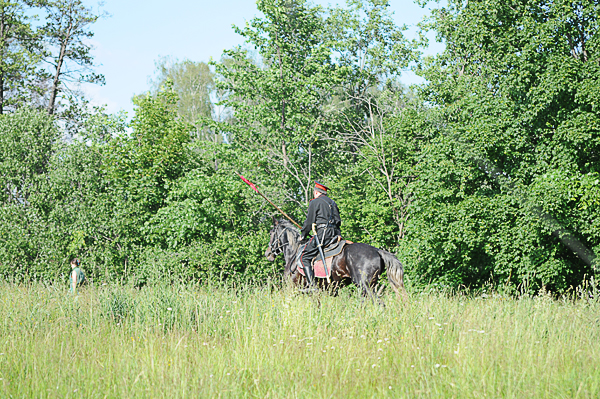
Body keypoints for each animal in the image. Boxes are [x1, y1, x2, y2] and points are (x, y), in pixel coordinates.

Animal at [266, 219, 408, 300]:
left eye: (271, 232)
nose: (268, 253)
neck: (294, 252)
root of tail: (377, 251)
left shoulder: (293, 288)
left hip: (365, 286)